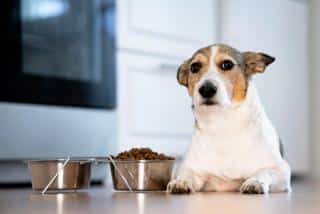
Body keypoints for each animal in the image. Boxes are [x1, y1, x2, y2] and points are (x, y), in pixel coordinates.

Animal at [168, 43, 292, 194]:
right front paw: (181, 182)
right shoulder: (191, 168)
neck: (223, 123)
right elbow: (186, 174)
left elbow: (264, 172)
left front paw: (254, 182)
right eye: (195, 67)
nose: (206, 89)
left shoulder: (282, 170)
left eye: (227, 64)